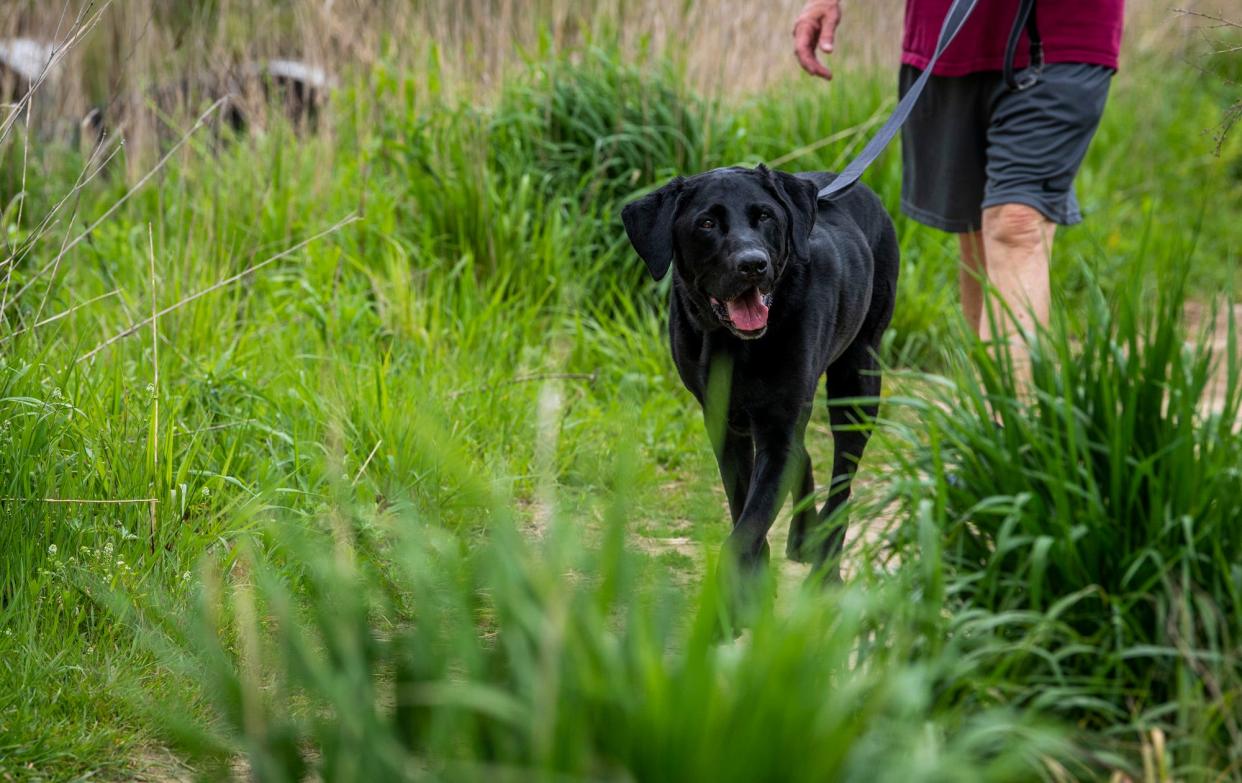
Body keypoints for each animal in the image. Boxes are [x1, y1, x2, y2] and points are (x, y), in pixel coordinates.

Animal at [625, 165, 899, 584]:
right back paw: (802, 538)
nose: (753, 264)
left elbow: (749, 526)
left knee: (842, 481)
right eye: (706, 223)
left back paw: (827, 565)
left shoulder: (779, 429)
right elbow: (744, 506)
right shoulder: (724, 424)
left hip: (857, 380)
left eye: (766, 216)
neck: (735, 346)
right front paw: (753, 583)